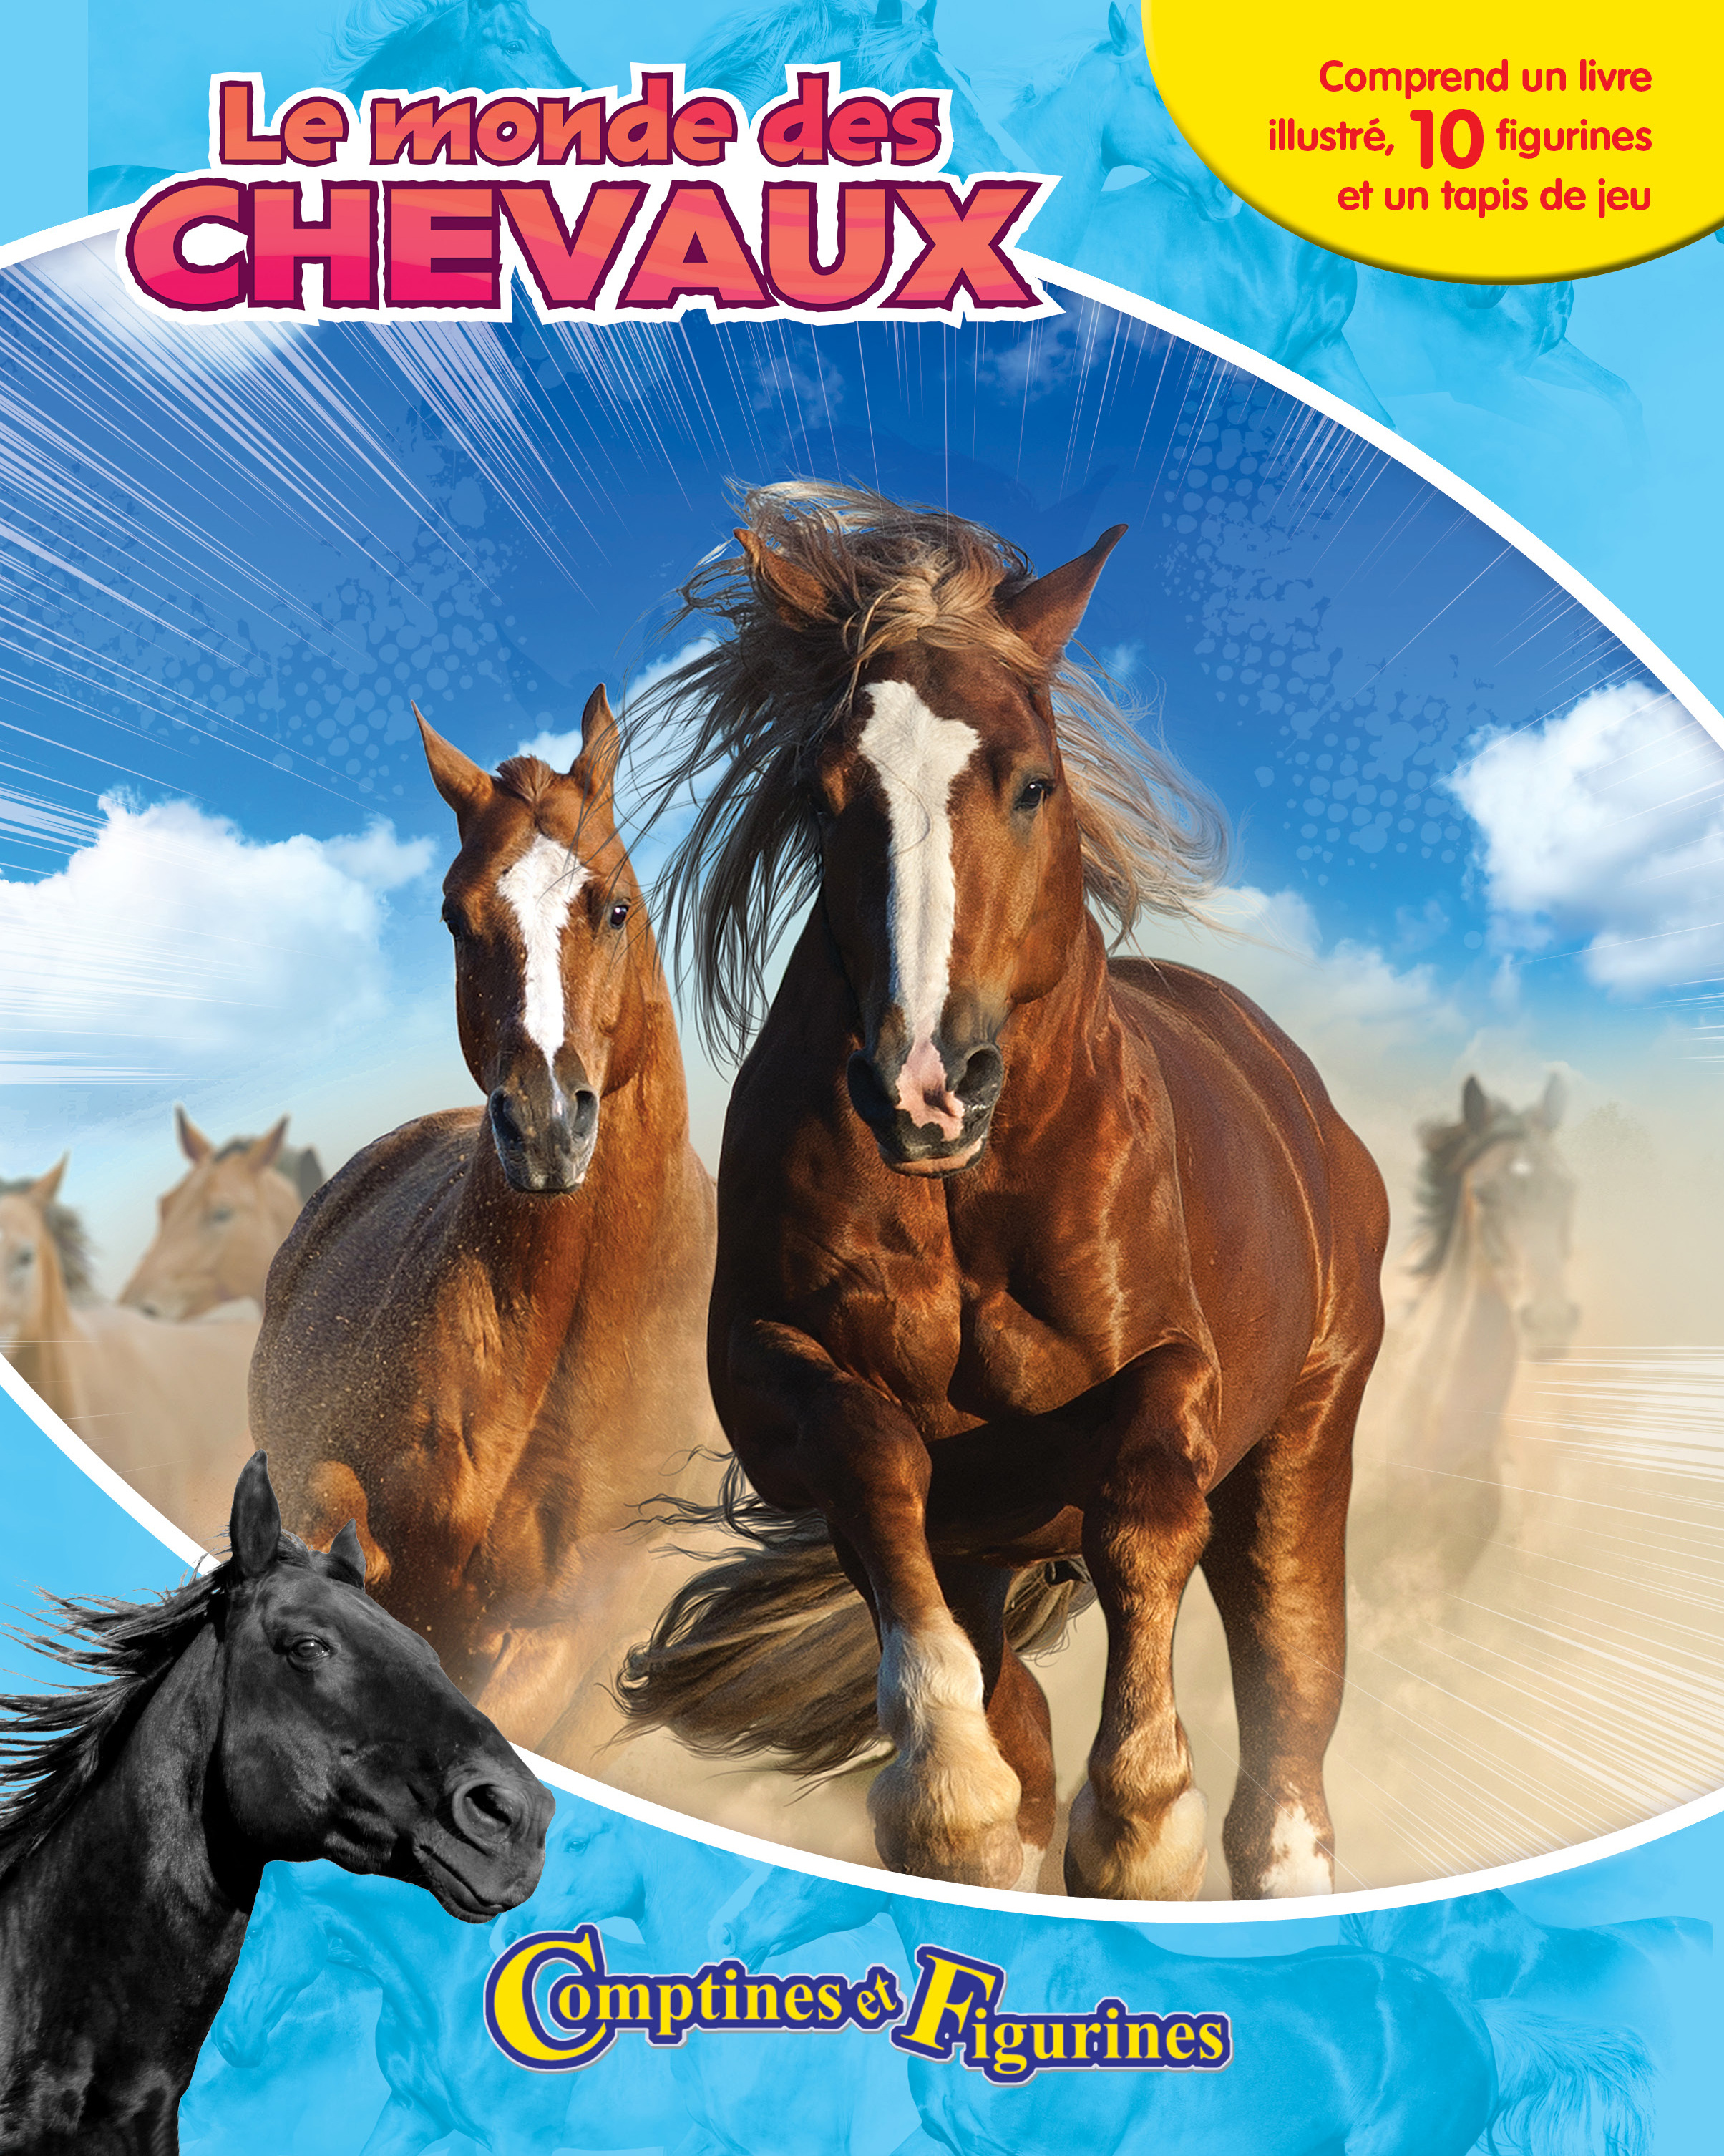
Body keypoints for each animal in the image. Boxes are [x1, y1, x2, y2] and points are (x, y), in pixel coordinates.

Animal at [618, 481, 1389, 1901]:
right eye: (823, 796)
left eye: (1030, 782)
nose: (924, 1085)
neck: (965, 1198)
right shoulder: (774, 1377)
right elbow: (869, 1455)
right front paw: (950, 1797)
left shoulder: (1174, 1373)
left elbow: (1146, 1504)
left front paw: (1137, 1819)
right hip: (986, 1542)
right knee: (1016, 1701)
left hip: (1302, 1450)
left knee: (1284, 1764)